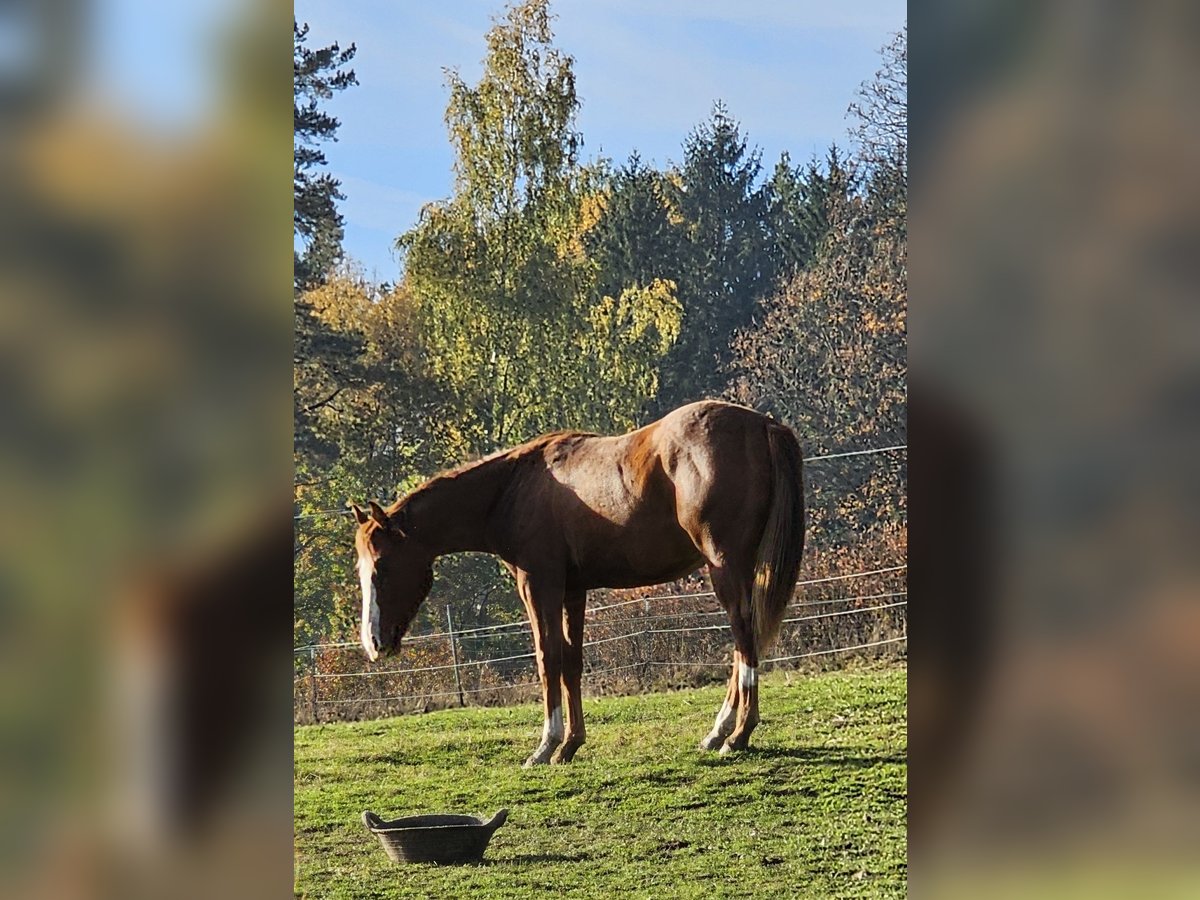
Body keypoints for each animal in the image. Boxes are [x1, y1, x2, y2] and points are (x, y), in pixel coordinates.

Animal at [350, 400, 806, 768]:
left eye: (381, 567)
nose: (373, 643)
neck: (513, 487)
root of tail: (764, 424)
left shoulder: (539, 586)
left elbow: (546, 658)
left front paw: (545, 746)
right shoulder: (573, 590)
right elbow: (571, 661)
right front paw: (570, 745)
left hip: (725, 566)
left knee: (744, 637)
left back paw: (739, 734)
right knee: (744, 642)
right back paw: (718, 732)